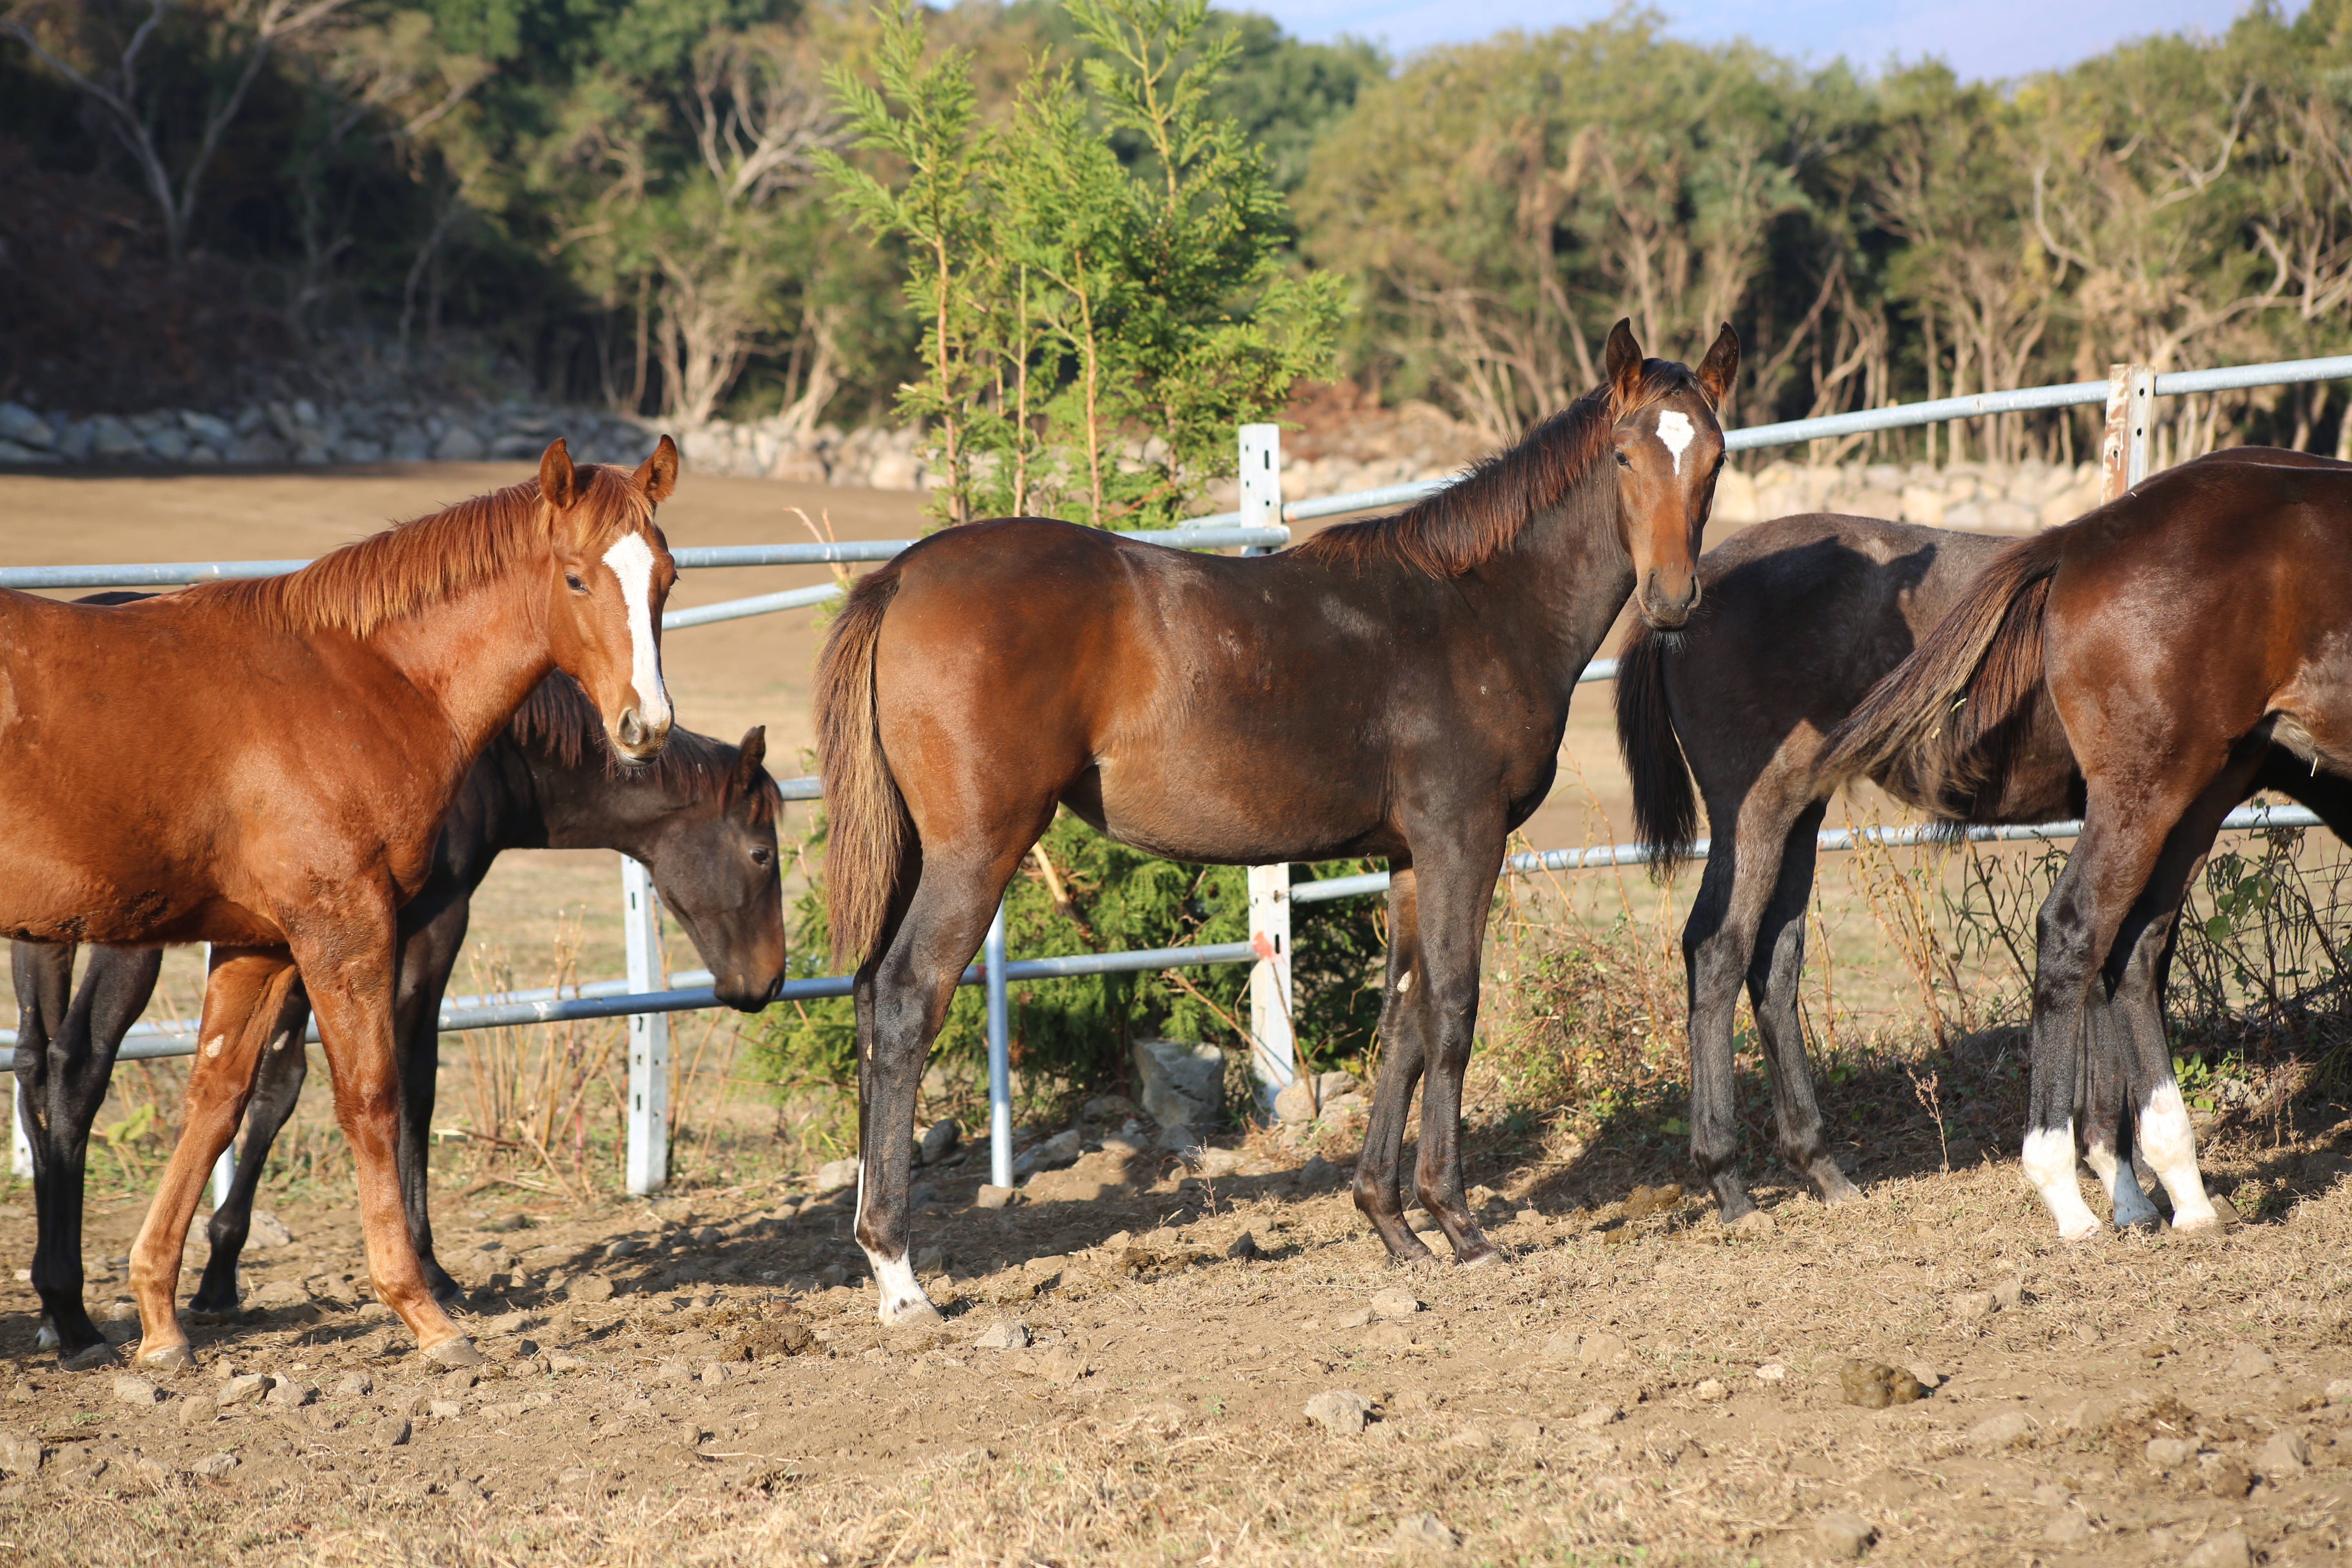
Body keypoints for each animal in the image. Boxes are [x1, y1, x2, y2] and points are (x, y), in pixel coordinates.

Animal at [2, 439, 682, 1363]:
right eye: (576, 579)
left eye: (668, 579)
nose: (646, 727)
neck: (363, 683)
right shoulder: (346, 928)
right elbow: (371, 1098)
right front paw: (421, 1308)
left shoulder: (260, 945)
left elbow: (217, 1101)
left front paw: (160, 1319)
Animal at [11, 677, 790, 1363]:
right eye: (762, 853)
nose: (769, 981)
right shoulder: (424, 924)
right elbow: (411, 1084)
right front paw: (430, 1267)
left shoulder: (302, 939)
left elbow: (276, 1084)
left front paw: (220, 1273)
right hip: (128, 941)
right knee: (81, 1063)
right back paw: (73, 1316)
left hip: (46, 938)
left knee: (35, 1067)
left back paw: (57, 1309)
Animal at [818, 322, 1740, 1326]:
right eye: (1624, 456)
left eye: (1717, 459)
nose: (1674, 600)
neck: (1479, 607)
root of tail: (902, 575)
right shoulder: (1464, 839)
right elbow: (1454, 1011)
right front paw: (1459, 1225)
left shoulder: (1410, 856)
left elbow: (1404, 1016)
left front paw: (1392, 1224)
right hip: (975, 851)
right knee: (906, 999)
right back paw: (900, 1277)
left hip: (923, 851)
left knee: (867, 996)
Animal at [1618, 461, 2352, 1232]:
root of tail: (1687, 588)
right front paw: (2124, 1182)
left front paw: (2123, 1179)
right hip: (1755, 812)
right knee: (1718, 951)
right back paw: (1728, 1182)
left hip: (1801, 816)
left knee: (1776, 962)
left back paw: (1819, 1166)